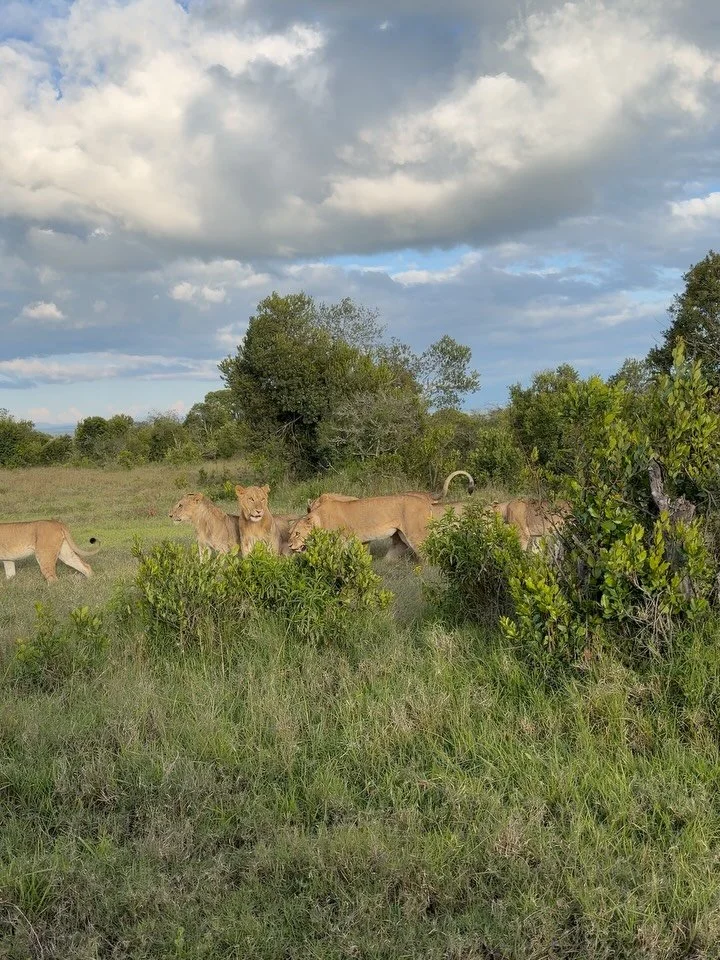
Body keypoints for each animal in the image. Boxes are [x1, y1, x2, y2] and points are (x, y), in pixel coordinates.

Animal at [289, 493, 434, 558]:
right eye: (290, 533)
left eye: (297, 533)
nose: (289, 545)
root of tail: (427, 502)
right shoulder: (362, 542)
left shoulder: (340, 543)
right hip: (403, 535)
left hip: (416, 535)